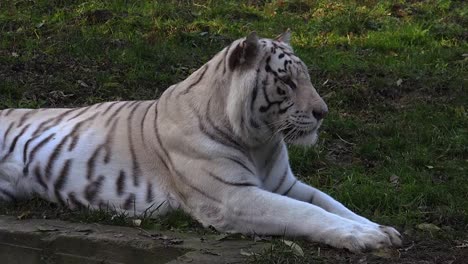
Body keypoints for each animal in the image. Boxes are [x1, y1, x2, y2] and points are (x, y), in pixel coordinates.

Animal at [0, 30, 402, 252]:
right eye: (287, 82)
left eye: (307, 78)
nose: (323, 112)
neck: (260, 142)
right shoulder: (232, 197)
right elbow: (307, 213)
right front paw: (364, 237)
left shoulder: (285, 184)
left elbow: (333, 204)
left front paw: (381, 230)